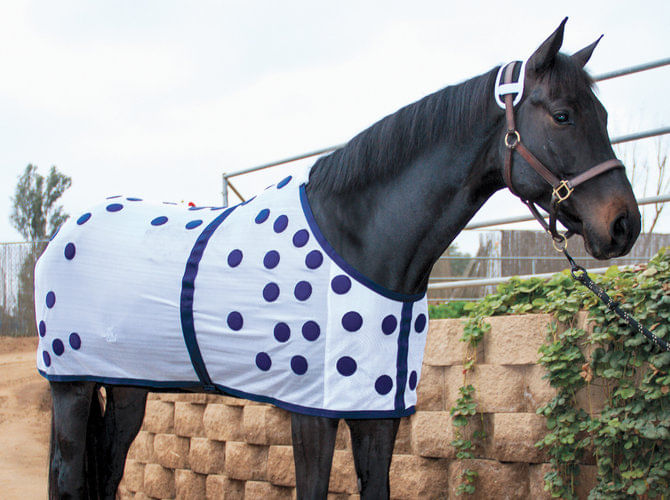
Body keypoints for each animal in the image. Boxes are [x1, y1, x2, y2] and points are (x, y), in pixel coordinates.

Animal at [38, 19, 640, 499]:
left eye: (605, 114)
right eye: (562, 115)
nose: (624, 225)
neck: (359, 240)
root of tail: (63, 232)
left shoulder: (378, 414)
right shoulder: (312, 413)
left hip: (126, 387)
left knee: (108, 473)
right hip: (71, 387)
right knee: (69, 480)